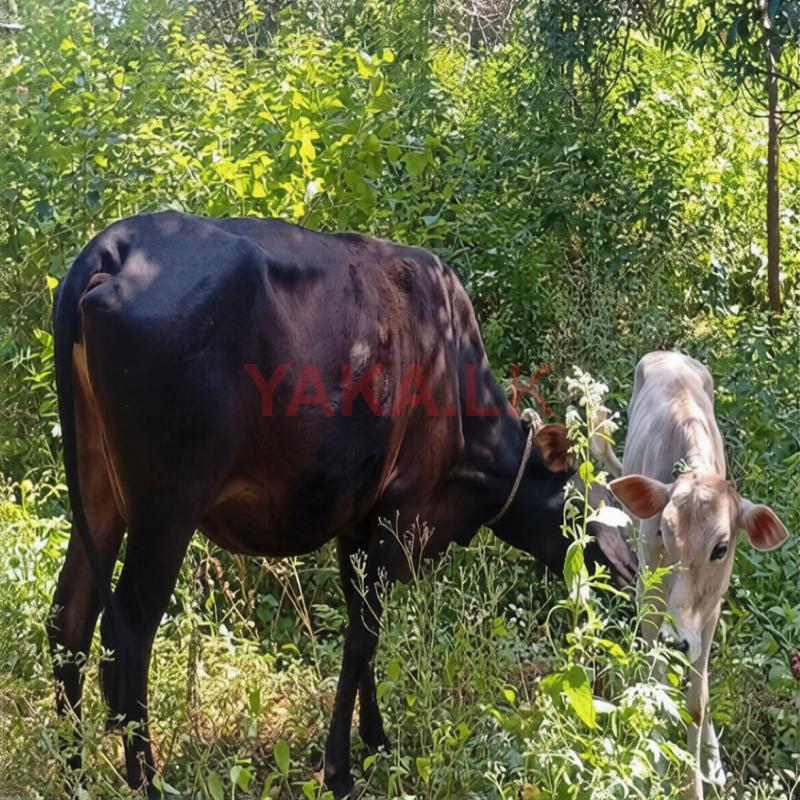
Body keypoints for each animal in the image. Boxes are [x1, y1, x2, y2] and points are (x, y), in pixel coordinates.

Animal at [49, 211, 637, 797]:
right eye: (588, 507)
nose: (632, 572)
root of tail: (111, 249)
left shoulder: (356, 523)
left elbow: (364, 633)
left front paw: (375, 739)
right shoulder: (400, 514)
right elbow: (362, 638)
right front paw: (340, 769)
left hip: (98, 490)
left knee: (68, 618)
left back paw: (73, 771)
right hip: (166, 507)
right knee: (128, 635)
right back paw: (144, 781)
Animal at [599, 351, 790, 800]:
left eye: (721, 547)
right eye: (663, 534)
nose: (677, 639)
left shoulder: (711, 610)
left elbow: (696, 701)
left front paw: (701, 773)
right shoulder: (649, 597)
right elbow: (656, 684)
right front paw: (654, 761)